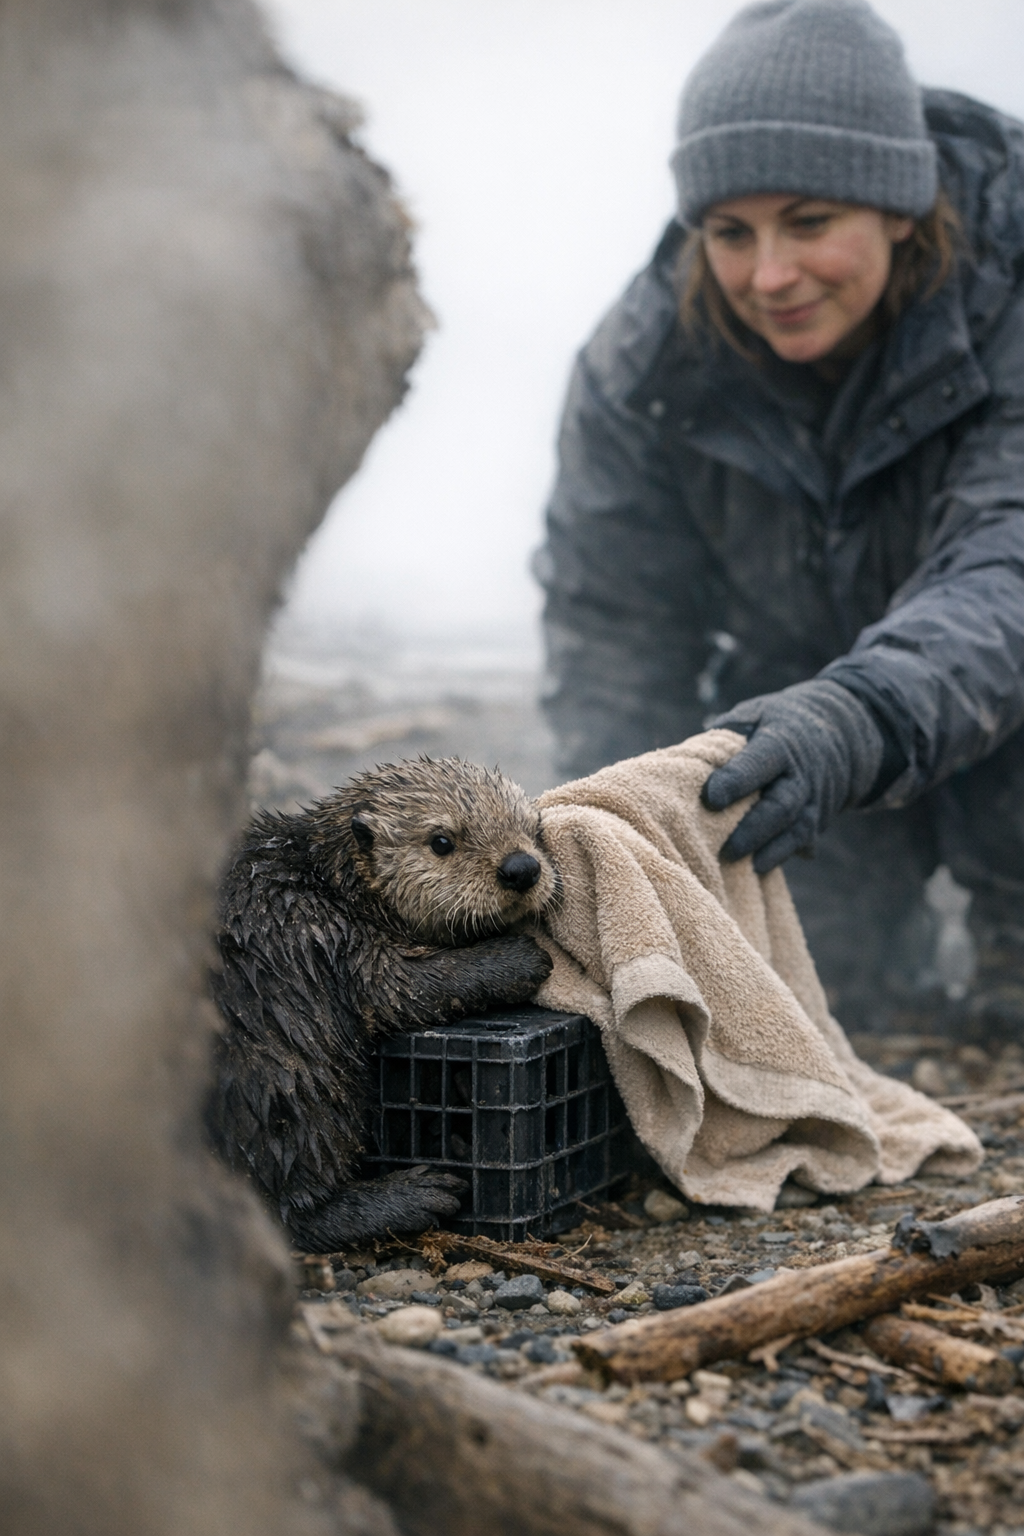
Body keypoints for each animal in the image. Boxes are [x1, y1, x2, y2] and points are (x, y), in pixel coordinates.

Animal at [207, 757, 559, 1251]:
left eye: (534, 827)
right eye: (442, 841)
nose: (521, 867)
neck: (330, 884)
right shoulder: (333, 934)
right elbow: (404, 988)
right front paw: (522, 957)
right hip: (280, 1076)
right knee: (289, 1198)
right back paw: (415, 1195)